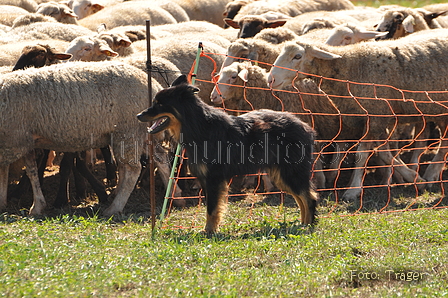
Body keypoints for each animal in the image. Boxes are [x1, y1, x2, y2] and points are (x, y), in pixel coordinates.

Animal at [0, 60, 161, 215]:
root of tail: (154, 86)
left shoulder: (12, 142)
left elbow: (6, 170)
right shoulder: (24, 142)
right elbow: (30, 171)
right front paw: (35, 205)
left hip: (127, 131)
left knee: (132, 170)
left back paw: (115, 207)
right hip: (137, 134)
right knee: (158, 158)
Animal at [138, 74, 316, 233]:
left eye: (160, 104)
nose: (138, 115)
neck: (199, 127)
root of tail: (306, 127)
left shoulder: (214, 179)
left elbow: (212, 209)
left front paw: (209, 231)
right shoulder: (206, 180)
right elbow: (212, 207)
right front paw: (211, 229)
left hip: (290, 173)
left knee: (309, 198)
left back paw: (307, 226)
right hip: (282, 176)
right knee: (301, 198)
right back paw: (302, 224)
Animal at [268, 29, 448, 200]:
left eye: (297, 56)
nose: (270, 79)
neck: (350, 67)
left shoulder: (376, 116)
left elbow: (371, 154)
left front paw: (354, 189)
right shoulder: (369, 118)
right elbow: (375, 153)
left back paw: (431, 174)